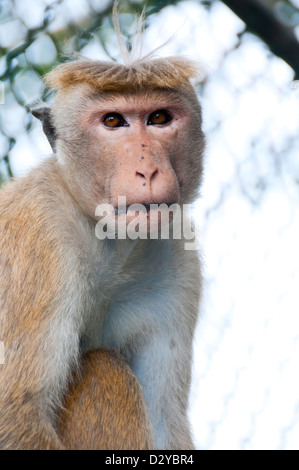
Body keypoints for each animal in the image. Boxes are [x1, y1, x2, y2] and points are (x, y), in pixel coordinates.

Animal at [0, 39, 205, 448]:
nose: (148, 170)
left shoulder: (178, 258)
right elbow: (16, 411)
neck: (107, 238)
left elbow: (164, 422)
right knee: (103, 366)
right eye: (113, 121)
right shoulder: (37, 236)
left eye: (159, 118)